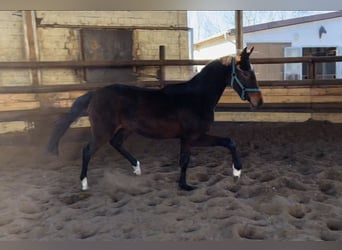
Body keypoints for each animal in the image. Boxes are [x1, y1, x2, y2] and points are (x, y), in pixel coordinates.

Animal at [47, 47, 262, 191]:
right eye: (244, 72)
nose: (259, 102)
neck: (197, 97)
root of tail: (95, 94)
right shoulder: (194, 137)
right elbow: (227, 142)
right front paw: (236, 173)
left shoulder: (187, 138)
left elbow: (186, 159)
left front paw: (184, 184)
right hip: (102, 131)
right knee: (87, 150)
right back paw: (84, 183)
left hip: (126, 129)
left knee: (116, 143)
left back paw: (137, 168)